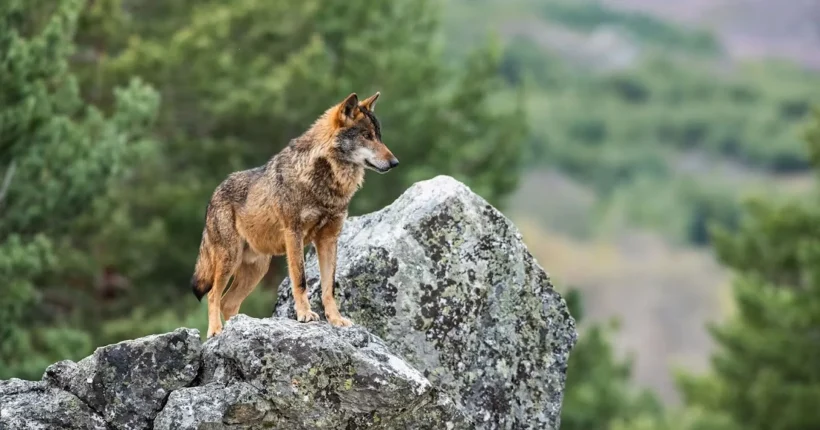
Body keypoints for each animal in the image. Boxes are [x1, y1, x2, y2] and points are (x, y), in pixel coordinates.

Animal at [190, 92, 398, 337]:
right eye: (366, 136)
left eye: (379, 136)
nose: (395, 162)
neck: (326, 182)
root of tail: (213, 195)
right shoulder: (294, 234)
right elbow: (300, 280)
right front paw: (305, 315)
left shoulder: (329, 240)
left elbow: (329, 287)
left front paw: (335, 319)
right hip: (229, 260)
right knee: (214, 295)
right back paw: (216, 331)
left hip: (257, 269)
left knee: (228, 302)